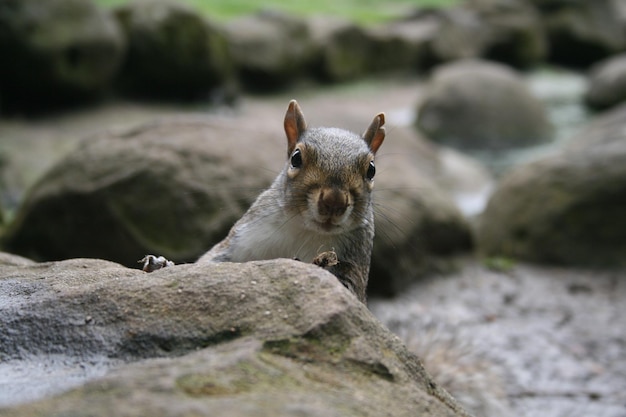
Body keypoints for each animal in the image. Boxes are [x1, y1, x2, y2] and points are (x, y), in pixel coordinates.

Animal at [143, 100, 386, 302]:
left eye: (371, 170)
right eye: (296, 158)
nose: (334, 202)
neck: (304, 231)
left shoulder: (354, 264)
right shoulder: (239, 240)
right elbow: (207, 262)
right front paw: (161, 265)